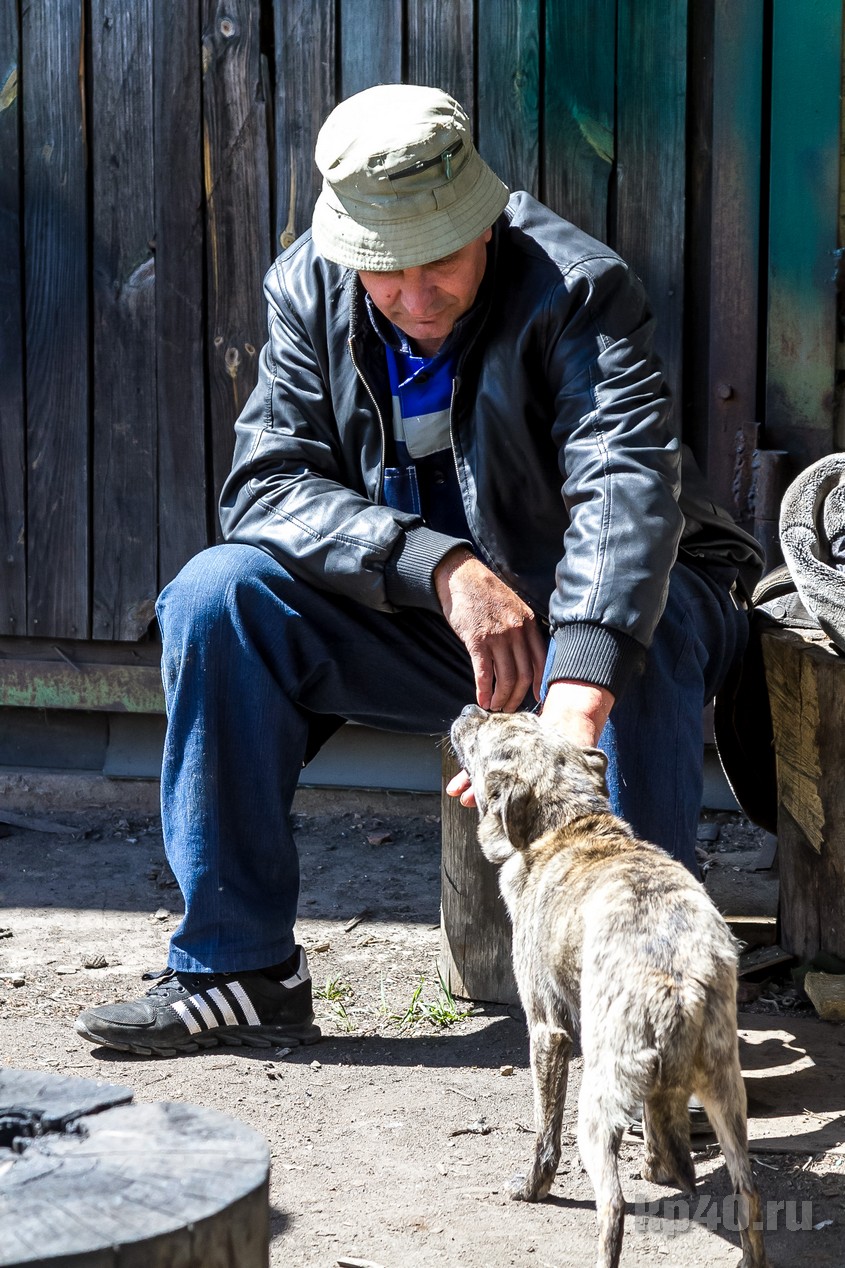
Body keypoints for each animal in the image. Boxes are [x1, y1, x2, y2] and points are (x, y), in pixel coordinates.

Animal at [451, 710, 766, 1262]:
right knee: (748, 1192)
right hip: (726, 1092)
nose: (470, 709)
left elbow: (544, 1133)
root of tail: (679, 985)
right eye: (526, 716)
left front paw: (531, 1188)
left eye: (489, 734)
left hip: (596, 1104)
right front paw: (657, 1167)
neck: (568, 824)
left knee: (614, 1207)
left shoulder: (547, 1030)